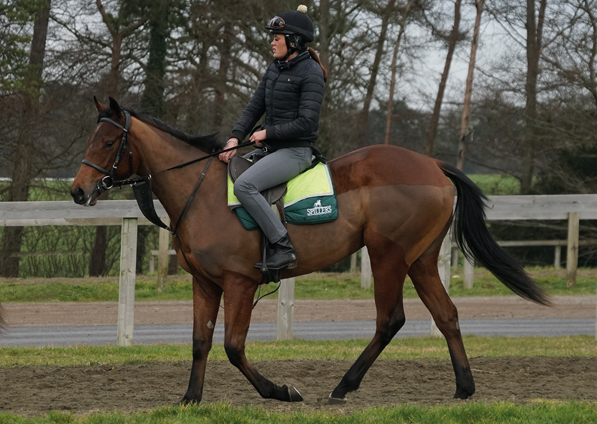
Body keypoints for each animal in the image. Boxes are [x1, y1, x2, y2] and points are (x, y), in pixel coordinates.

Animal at [67, 97, 548, 406]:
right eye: (91, 139)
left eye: (108, 143)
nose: (77, 191)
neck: (201, 193)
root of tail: (432, 164)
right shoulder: (205, 283)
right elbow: (200, 342)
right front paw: (189, 398)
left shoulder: (240, 283)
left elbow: (233, 347)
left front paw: (280, 391)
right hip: (422, 260)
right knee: (446, 315)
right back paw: (463, 388)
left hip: (388, 257)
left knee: (390, 319)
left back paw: (343, 386)